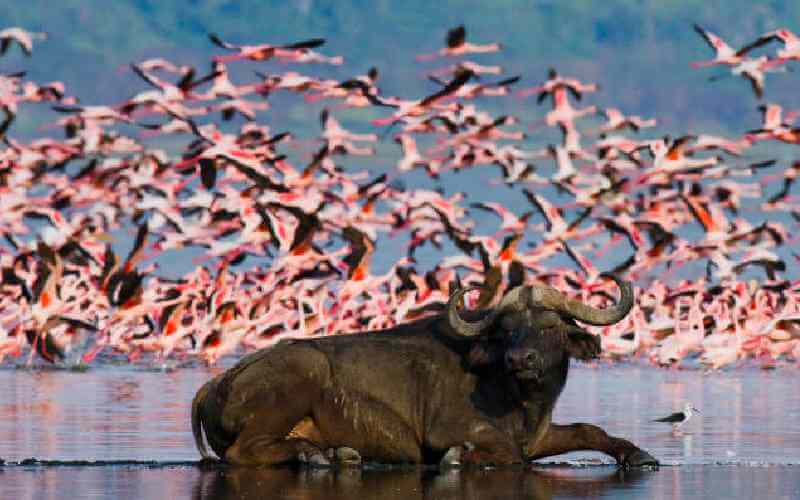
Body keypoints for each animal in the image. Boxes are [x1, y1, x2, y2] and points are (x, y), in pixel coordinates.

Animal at [192, 274, 656, 464]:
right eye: (506, 330)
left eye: (550, 327)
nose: (520, 360)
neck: (519, 399)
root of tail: (214, 384)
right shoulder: (446, 430)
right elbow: (506, 453)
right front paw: (460, 458)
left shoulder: (539, 436)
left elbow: (588, 430)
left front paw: (638, 454)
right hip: (301, 372)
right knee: (241, 453)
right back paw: (315, 456)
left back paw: (334, 454)